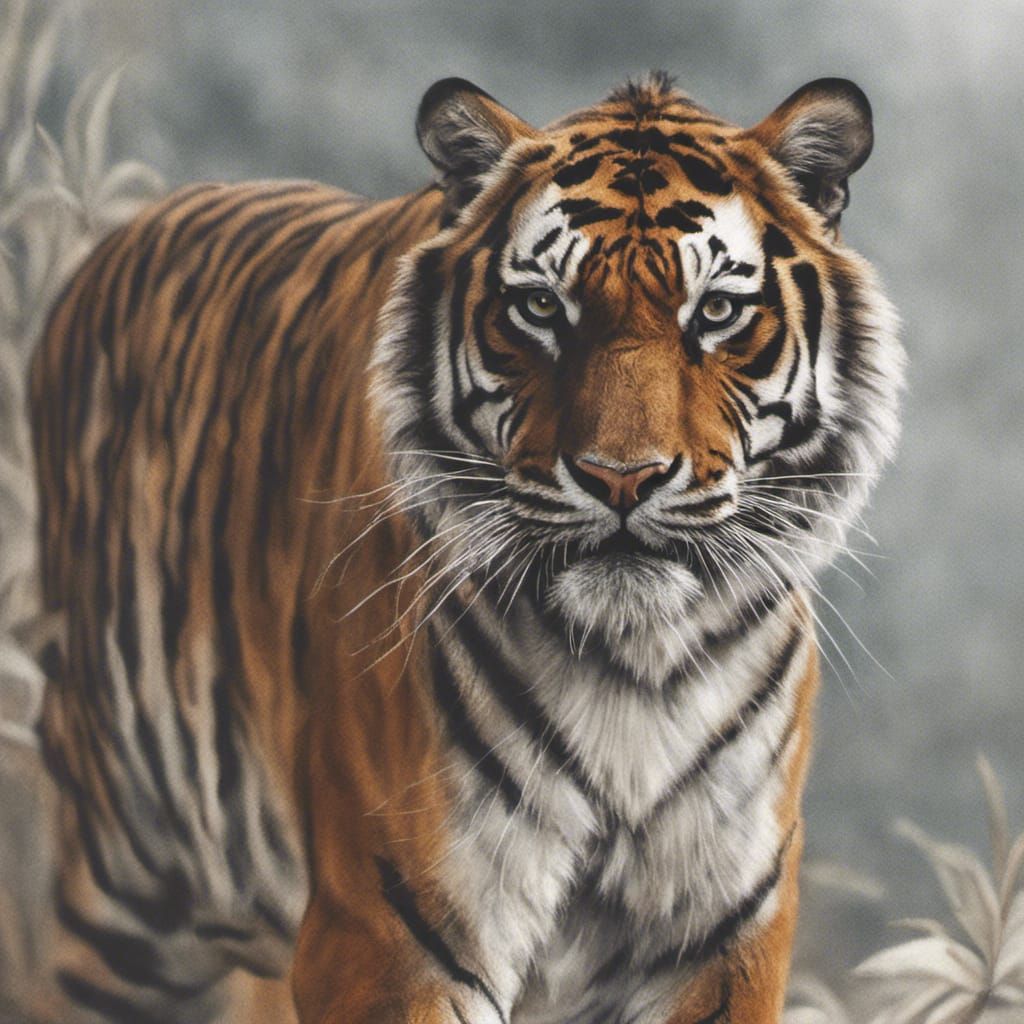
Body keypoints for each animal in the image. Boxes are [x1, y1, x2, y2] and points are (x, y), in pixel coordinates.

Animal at [29, 72, 902, 1023]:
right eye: (541, 307)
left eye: (715, 311)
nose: (622, 478)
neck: (632, 672)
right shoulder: (392, 933)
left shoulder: (719, 938)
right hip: (123, 904)